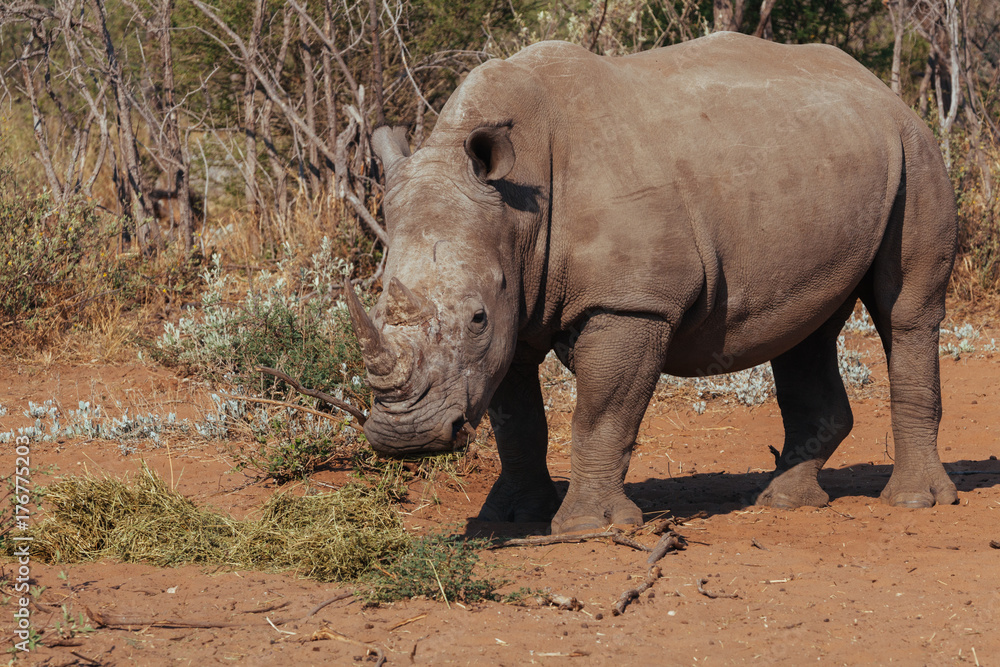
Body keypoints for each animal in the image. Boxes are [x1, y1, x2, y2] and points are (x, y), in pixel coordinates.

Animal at [346, 32, 958, 535]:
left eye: (475, 318)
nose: (406, 438)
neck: (517, 208)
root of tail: (879, 87)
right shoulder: (514, 308)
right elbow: (516, 422)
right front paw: (507, 520)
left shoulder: (633, 303)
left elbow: (600, 413)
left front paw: (587, 528)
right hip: (825, 165)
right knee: (805, 329)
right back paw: (784, 502)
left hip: (915, 150)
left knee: (907, 313)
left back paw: (913, 502)